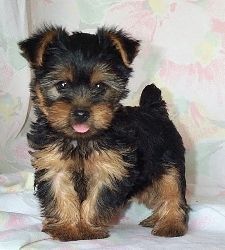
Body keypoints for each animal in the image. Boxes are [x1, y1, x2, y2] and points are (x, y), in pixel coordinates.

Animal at [18, 25, 188, 240]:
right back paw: (155, 218)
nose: (81, 112)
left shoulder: (110, 169)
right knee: (154, 193)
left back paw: (170, 223)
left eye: (100, 86)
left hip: (169, 162)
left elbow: (97, 199)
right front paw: (67, 228)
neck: (81, 140)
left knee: (171, 190)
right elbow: (60, 194)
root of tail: (154, 110)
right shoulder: (53, 164)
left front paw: (87, 228)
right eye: (62, 85)